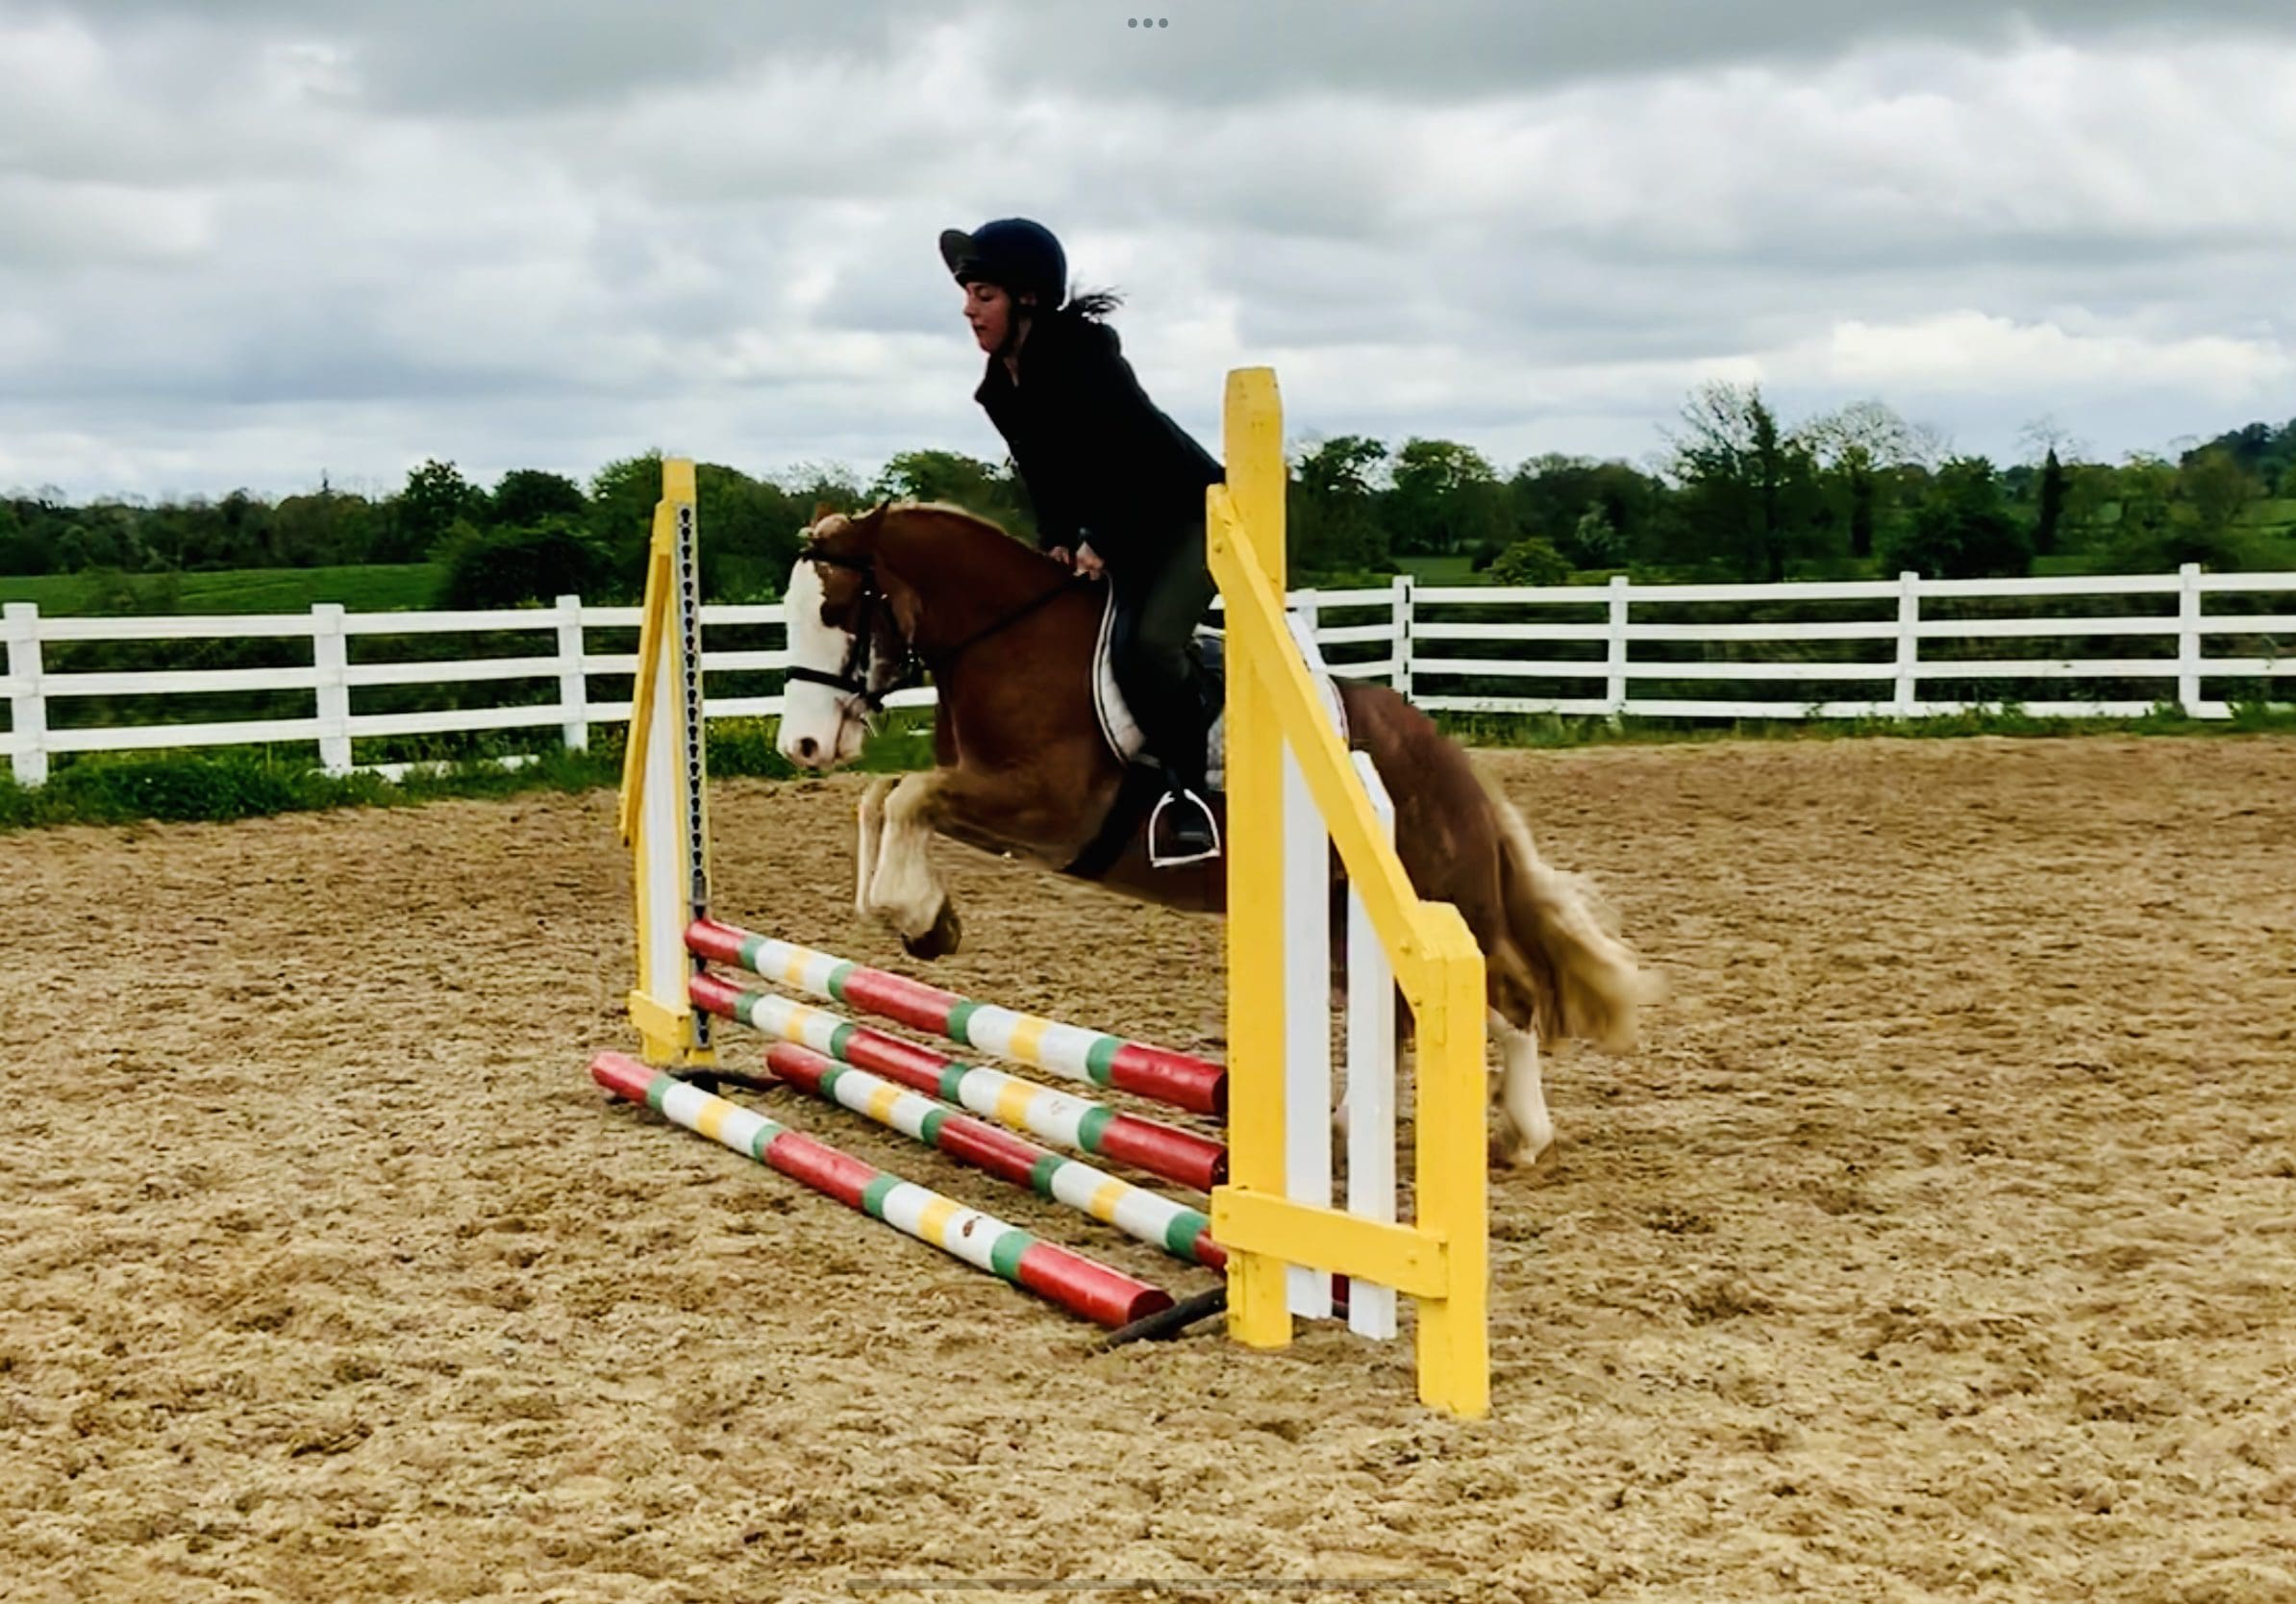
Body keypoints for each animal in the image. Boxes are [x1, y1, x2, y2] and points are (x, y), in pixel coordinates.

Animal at [772, 499, 1660, 1166]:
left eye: (834, 612)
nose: (802, 747)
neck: (1007, 638)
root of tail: (1446, 755)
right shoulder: (998, 810)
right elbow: (884, 797)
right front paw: (925, 920)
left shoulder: (1047, 807)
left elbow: (907, 796)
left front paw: (915, 913)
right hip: (1344, 921)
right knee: (1402, 1018)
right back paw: (1347, 1133)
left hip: (1439, 897)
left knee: (1508, 997)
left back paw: (1523, 1136)